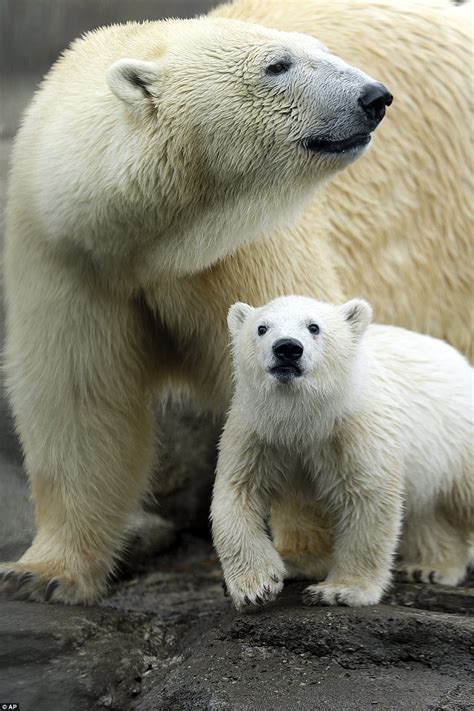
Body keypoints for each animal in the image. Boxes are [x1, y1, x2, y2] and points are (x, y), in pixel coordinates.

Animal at [0, 0, 470, 608]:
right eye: (278, 64)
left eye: (323, 50)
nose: (376, 97)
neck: (147, 241)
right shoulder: (69, 257)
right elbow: (80, 397)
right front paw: (40, 574)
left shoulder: (246, 248)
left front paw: (302, 555)